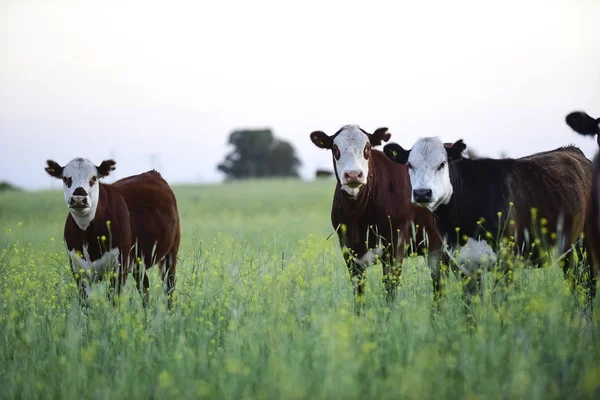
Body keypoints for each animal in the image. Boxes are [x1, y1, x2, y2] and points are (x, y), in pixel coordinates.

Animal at [45, 158, 180, 308]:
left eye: (93, 178)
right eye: (66, 178)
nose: (79, 198)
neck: (88, 236)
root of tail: (153, 173)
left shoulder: (119, 268)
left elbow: (113, 300)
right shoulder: (78, 270)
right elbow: (85, 304)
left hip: (171, 253)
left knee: (169, 287)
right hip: (139, 263)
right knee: (144, 288)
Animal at [312, 126, 442, 308]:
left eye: (367, 148)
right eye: (335, 149)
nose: (353, 174)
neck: (359, 213)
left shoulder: (395, 245)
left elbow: (390, 289)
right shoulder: (349, 251)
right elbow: (358, 292)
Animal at [384, 138, 596, 310]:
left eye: (442, 164)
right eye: (410, 164)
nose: (422, 193)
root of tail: (574, 151)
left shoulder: (505, 262)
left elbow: (500, 305)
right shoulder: (465, 266)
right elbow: (470, 310)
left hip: (590, 246)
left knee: (590, 286)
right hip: (569, 251)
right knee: (579, 285)